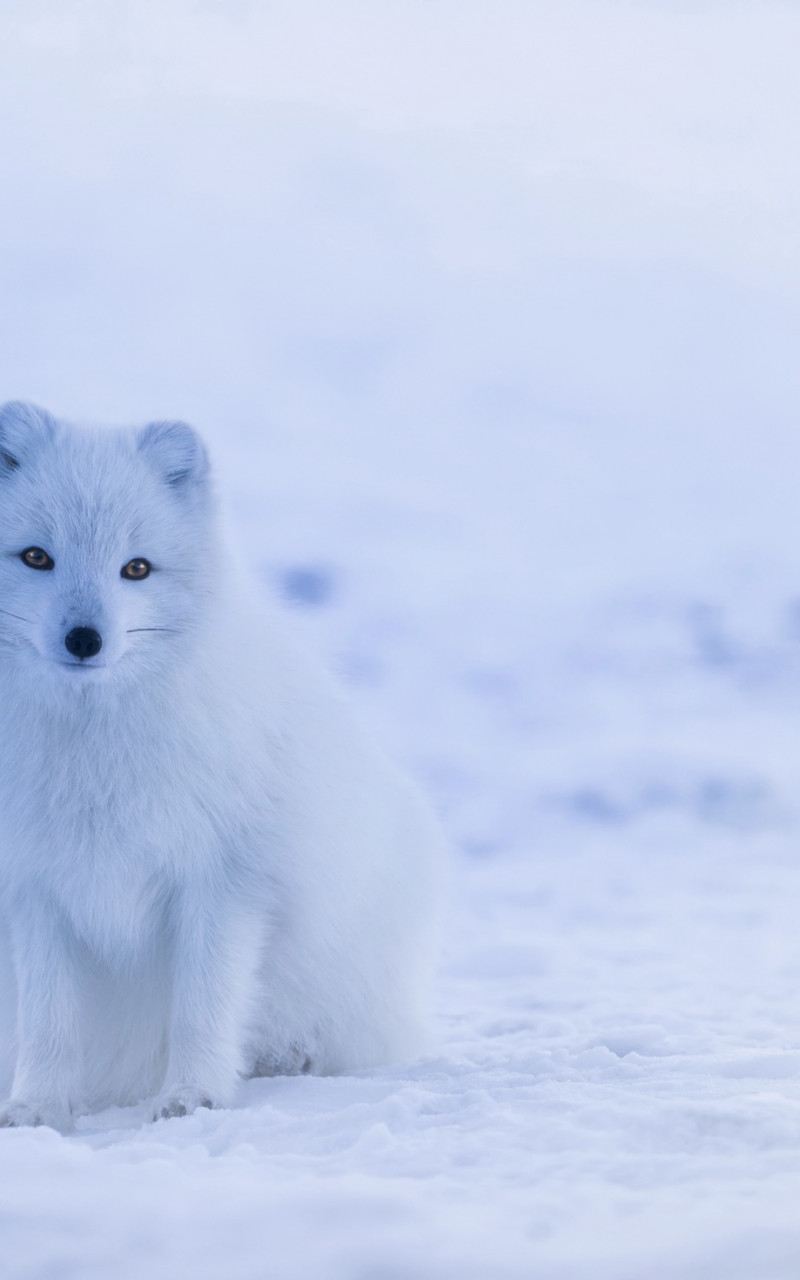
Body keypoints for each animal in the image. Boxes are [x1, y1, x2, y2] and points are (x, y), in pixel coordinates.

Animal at [0, 401, 442, 1131]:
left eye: (137, 569)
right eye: (36, 556)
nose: (85, 640)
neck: (93, 749)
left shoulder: (224, 881)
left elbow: (203, 1007)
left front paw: (192, 1098)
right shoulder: (33, 887)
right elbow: (49, 1021)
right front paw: (36, 1109)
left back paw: (289, 1058)